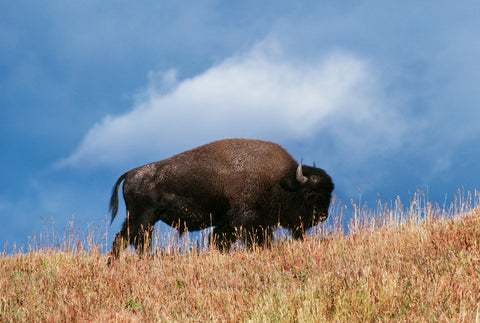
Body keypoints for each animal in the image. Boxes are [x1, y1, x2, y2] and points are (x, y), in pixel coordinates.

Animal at [108, 139, 334, 264]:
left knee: (127, 240)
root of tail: (130, 173)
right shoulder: (248, 220)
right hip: (143, 219)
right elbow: (256, 240)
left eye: (329, 193)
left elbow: (219, 240)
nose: (322, 216)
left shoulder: (228, 224)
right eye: (310, 193)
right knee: (133, 240)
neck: (280, 180)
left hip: (140, 220)